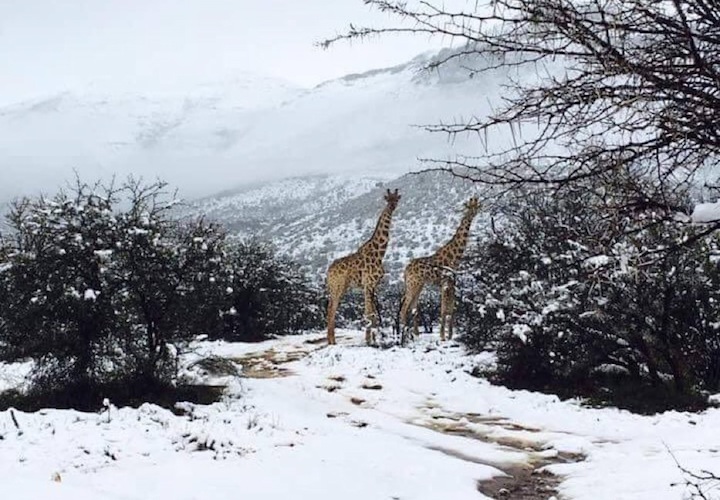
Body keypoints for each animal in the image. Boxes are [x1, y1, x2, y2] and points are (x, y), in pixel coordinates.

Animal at [324, 189, 400, 346]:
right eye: (388, 199)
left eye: (396, 199)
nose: (392, 207)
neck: (380, 253)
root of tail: (328, 271)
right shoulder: (368, 284)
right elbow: (368, 313)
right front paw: (369, 341)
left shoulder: (374, 285)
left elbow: (373, 314)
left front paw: (375, 340)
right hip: (337, 286)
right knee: (331, 309)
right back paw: (332, 341)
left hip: (338, 287)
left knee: (330, 308)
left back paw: (331, 340)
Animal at [396, 197, 480, 342]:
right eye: (470, 207)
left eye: (477, 205)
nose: (475, 211)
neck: (454, 256)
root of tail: (405, 271)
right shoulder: (444, 282)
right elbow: (443, 308)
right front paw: (443, 336)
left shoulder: (452, 282)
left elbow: (452, 308)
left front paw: (450, 335)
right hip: (413, 284)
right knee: (404, 307)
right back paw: (405, 335)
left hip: (419, 285)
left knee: (412, 307)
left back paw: (415, 334)